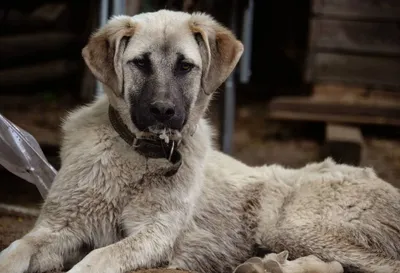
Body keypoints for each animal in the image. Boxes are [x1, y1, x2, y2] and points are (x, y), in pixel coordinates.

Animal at [0, 8, 400, 272]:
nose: (163, 111)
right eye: (140, 63)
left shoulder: (154, 235)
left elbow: (97, 258)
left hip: (295, 227)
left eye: (185, 66)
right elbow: (16, 250)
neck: (140, 157)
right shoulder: (58, 227)